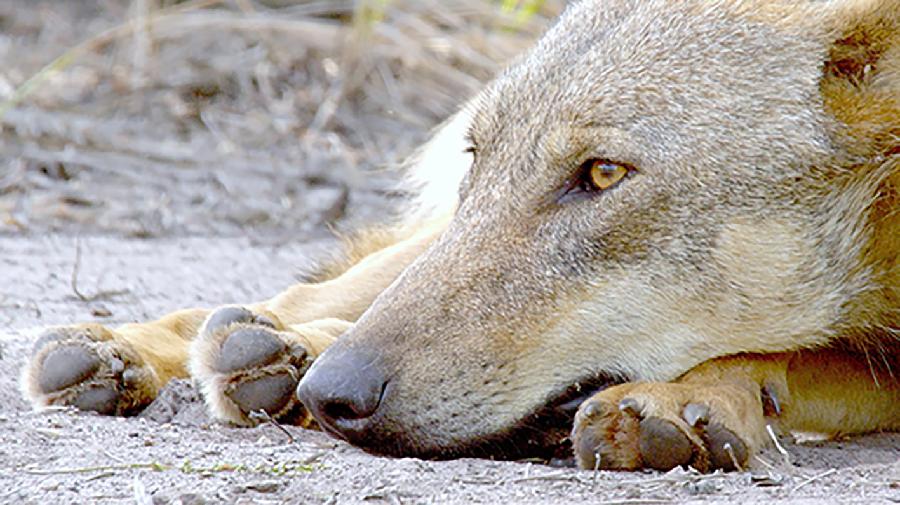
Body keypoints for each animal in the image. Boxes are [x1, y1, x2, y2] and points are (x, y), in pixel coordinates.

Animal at [21, 0, 898, 472]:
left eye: (603, 174)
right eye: (482, 155)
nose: (334, 395)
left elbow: (776, 355)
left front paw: (693, 399)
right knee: (296, 297)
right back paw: (164, 352)